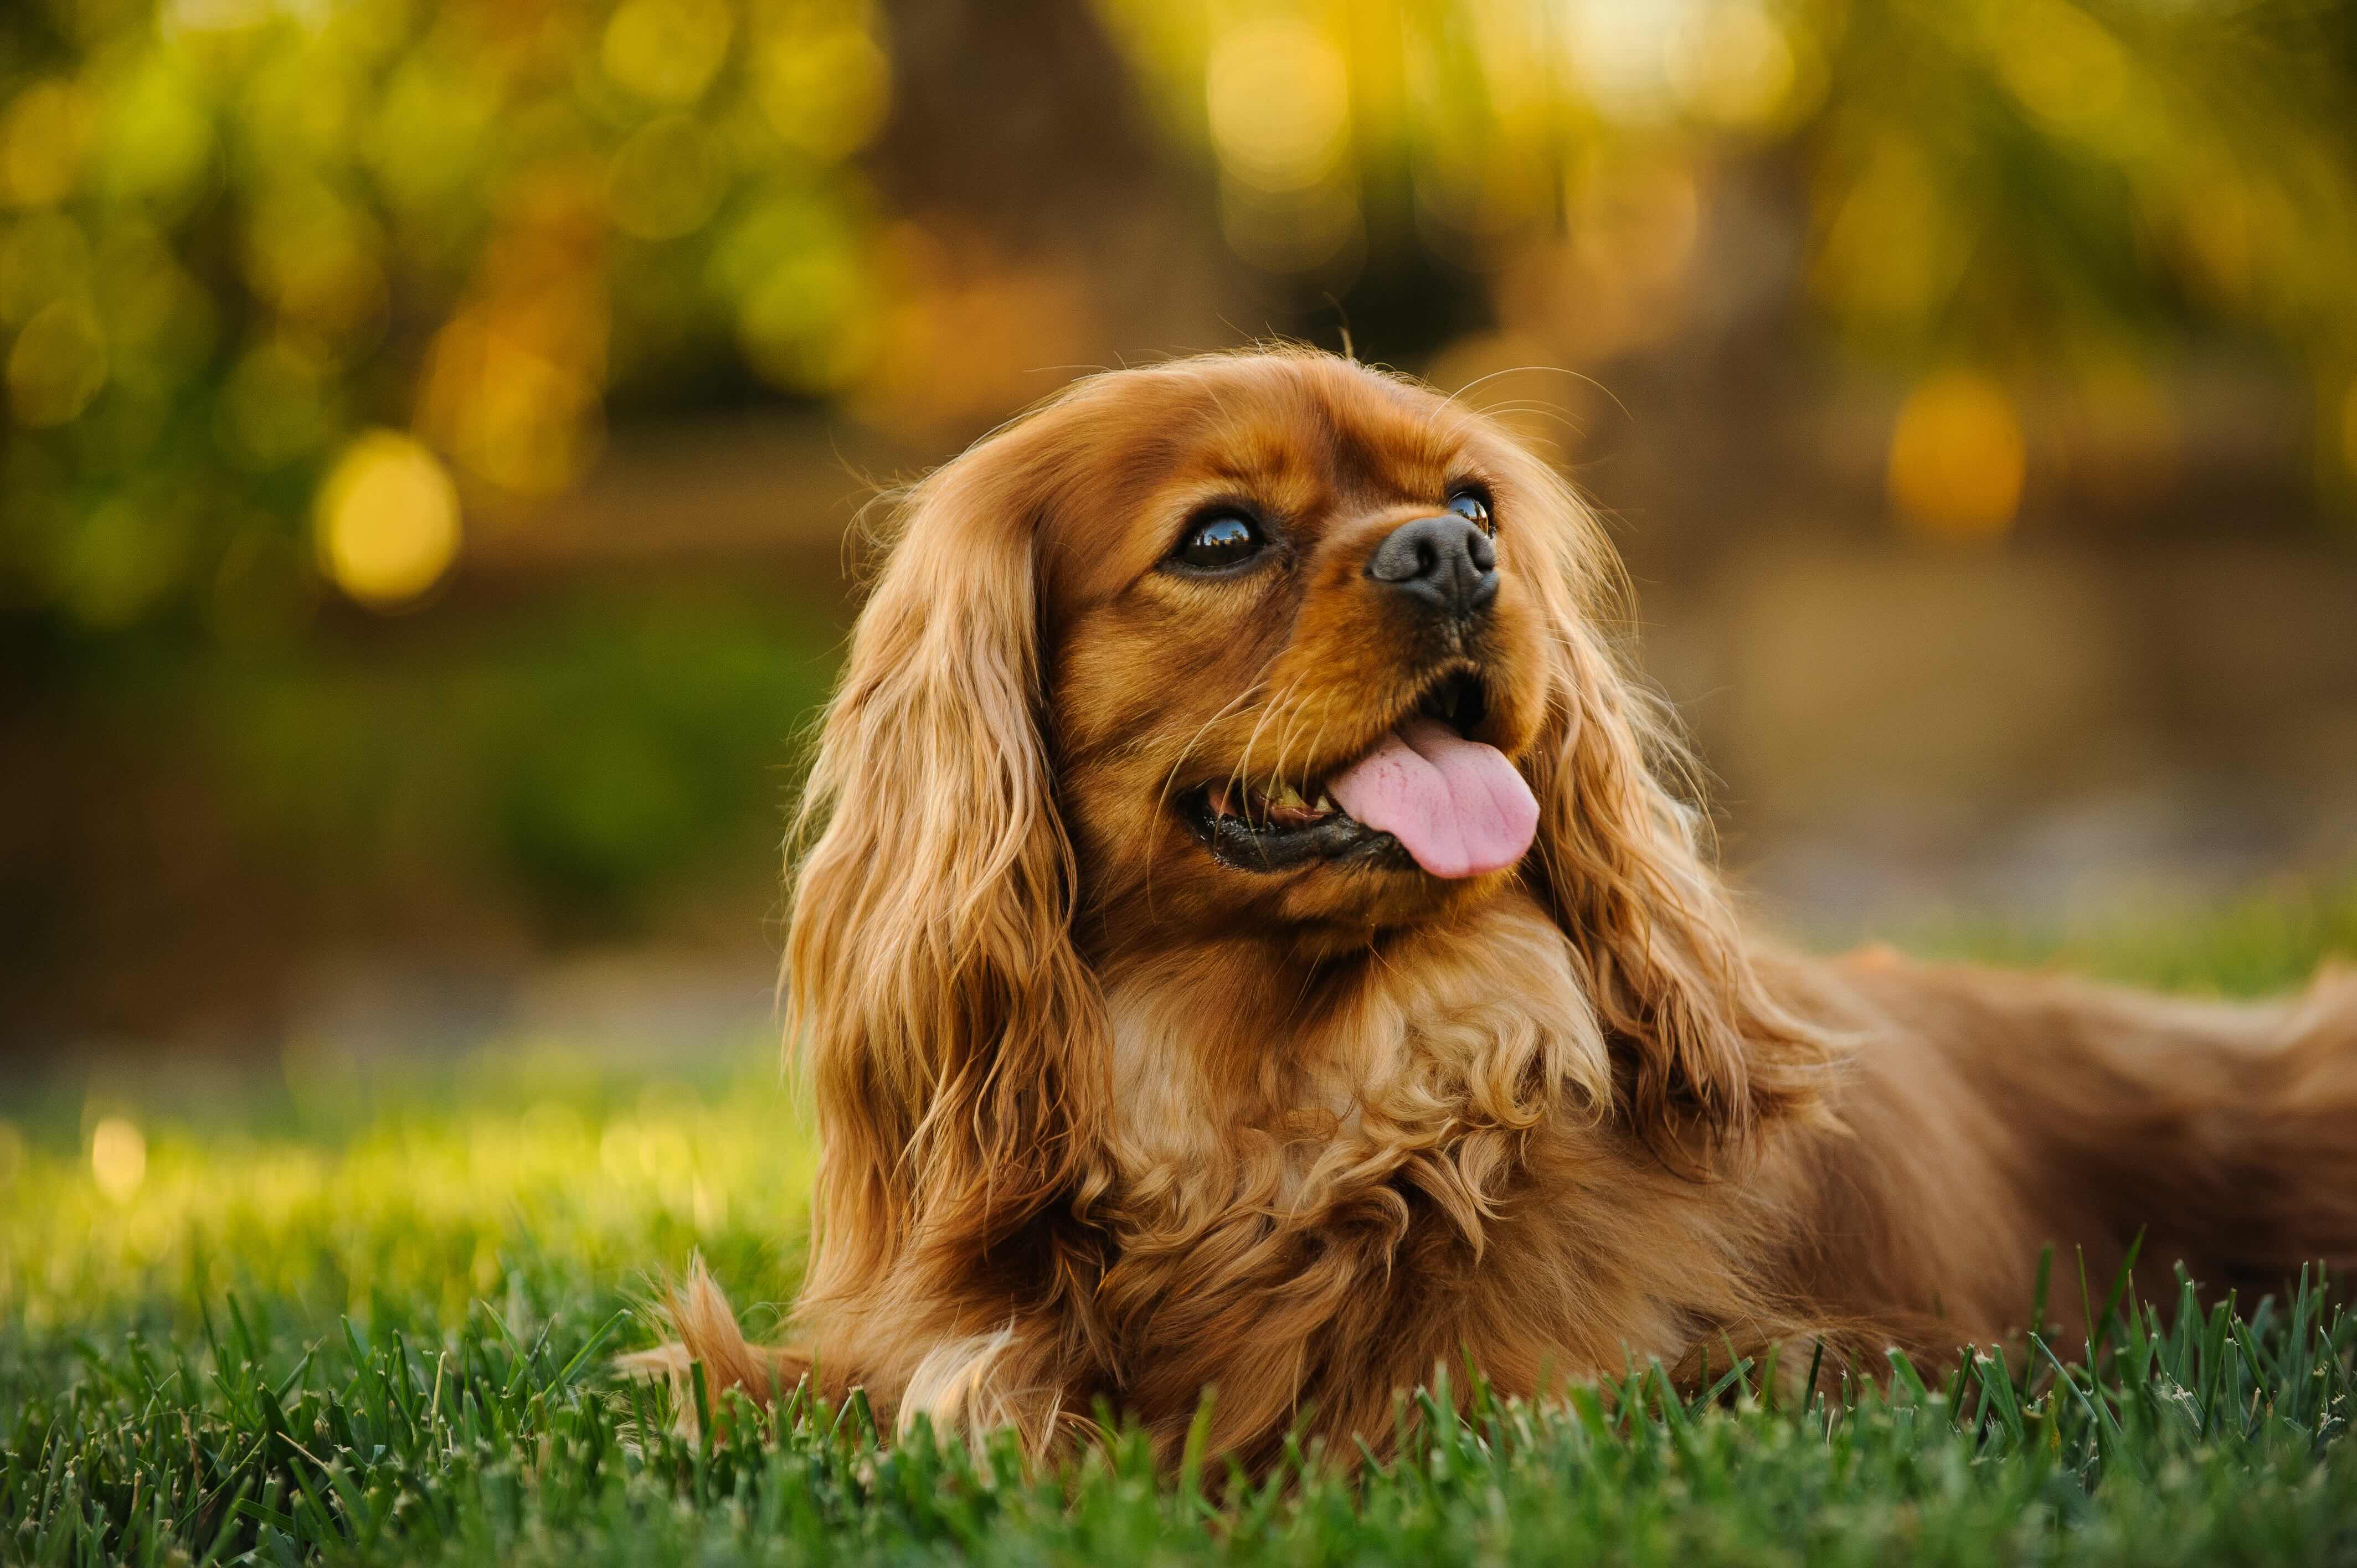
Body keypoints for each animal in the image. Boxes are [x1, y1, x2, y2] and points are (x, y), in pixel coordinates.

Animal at [627, 349, 2357, 1471]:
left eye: (1473, 500)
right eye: (1223, 538)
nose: (1453, 554)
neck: (1273, 1092)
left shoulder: (1701, 1372)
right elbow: (918, 1392)